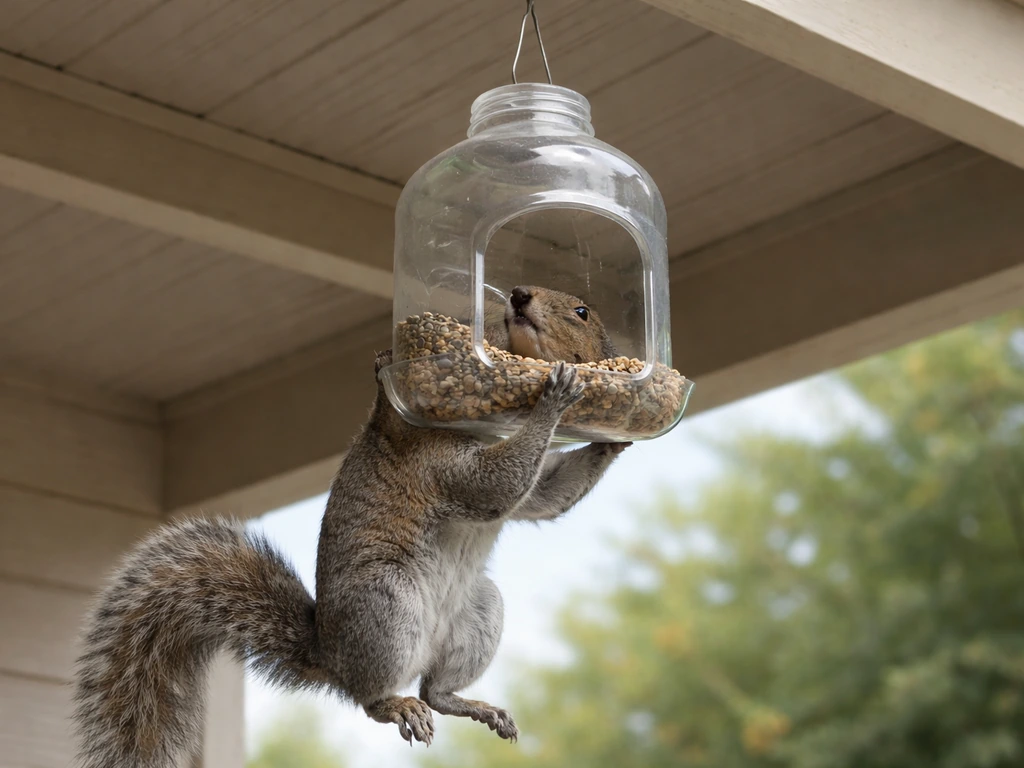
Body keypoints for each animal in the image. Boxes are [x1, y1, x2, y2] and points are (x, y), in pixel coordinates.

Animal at [72, 285, 630, 768]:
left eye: (581, 311)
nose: (517, 295)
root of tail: (332, 657)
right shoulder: (434, 463)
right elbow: (497, 486)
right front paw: (554, 397)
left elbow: (541, 495)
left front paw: (613, 441)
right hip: (386, 601)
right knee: (370, 697)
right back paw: (395, 705)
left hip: (478, 611)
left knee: (436, 690)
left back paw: (470, 705)